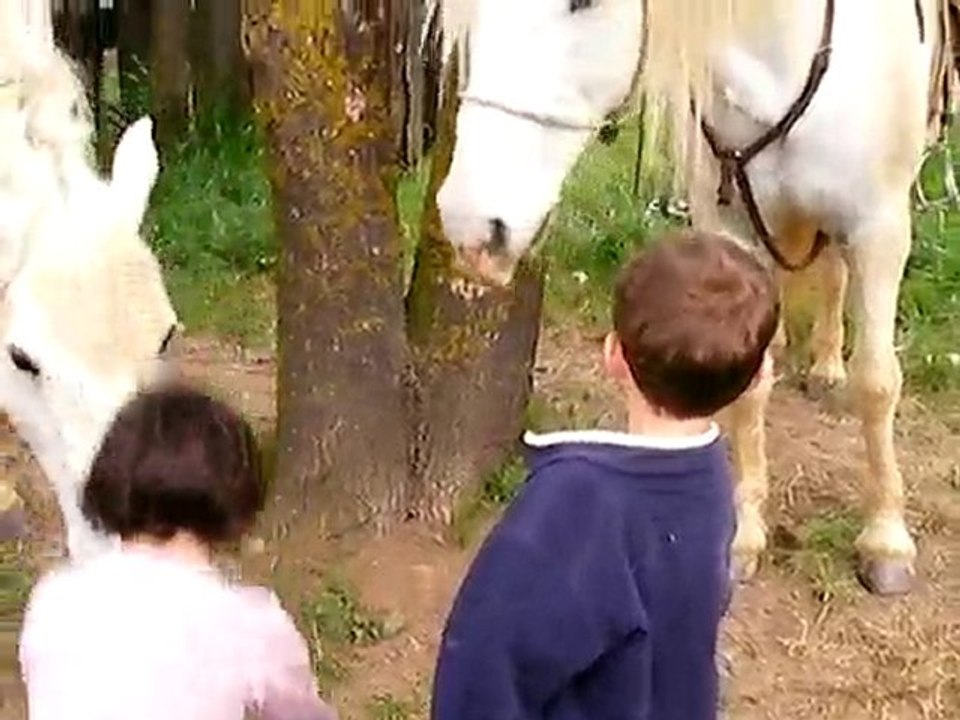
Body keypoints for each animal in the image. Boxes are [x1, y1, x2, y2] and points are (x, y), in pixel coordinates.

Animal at [434, 0, 951, 597]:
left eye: (584, 4)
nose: (469, 224)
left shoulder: (879, 230)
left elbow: (877, 384)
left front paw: (886, 540)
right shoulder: (732, 230)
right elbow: (749, 388)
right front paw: (744, 536)